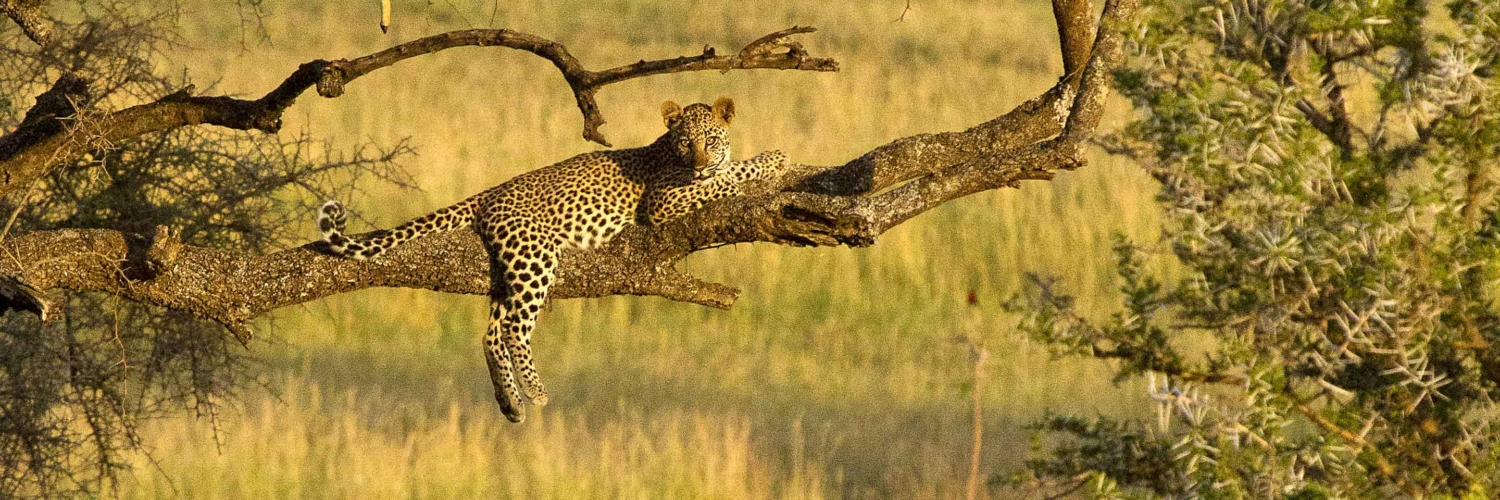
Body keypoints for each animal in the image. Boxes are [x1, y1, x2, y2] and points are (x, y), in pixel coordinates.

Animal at [316, 97, 788, 423]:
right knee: (512, 327)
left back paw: (512, 403)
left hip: (511, 267)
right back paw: (536, 393)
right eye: (687, 143)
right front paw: (756, 170)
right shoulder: (664, 199)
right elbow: (725, 181)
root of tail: (491, 192)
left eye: (710, 139)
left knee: (491, 332)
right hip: (536, 257)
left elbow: (731, 170)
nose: (701, 163)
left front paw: (764, 160)